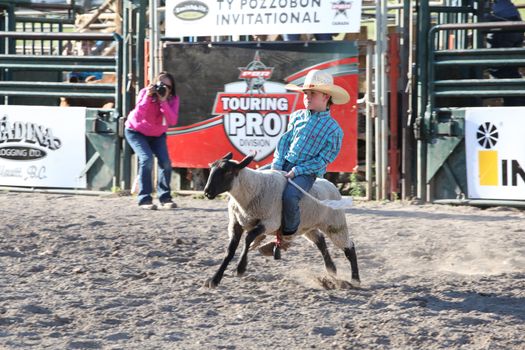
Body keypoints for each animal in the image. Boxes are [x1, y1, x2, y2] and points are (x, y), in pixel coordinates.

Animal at [203, 152, 358, 288]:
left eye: (228, 172)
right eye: (211, 169)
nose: (207, 192)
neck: (254, 189)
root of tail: (333, 186)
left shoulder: (270, 222)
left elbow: (249, 237)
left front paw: (241, 268)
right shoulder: (236, 224)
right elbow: (229, 251)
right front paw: (214, 280)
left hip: (335, 224)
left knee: (349, 247)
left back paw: (355, 280)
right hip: (307, 226)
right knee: (320, 241)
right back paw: (331, 270)